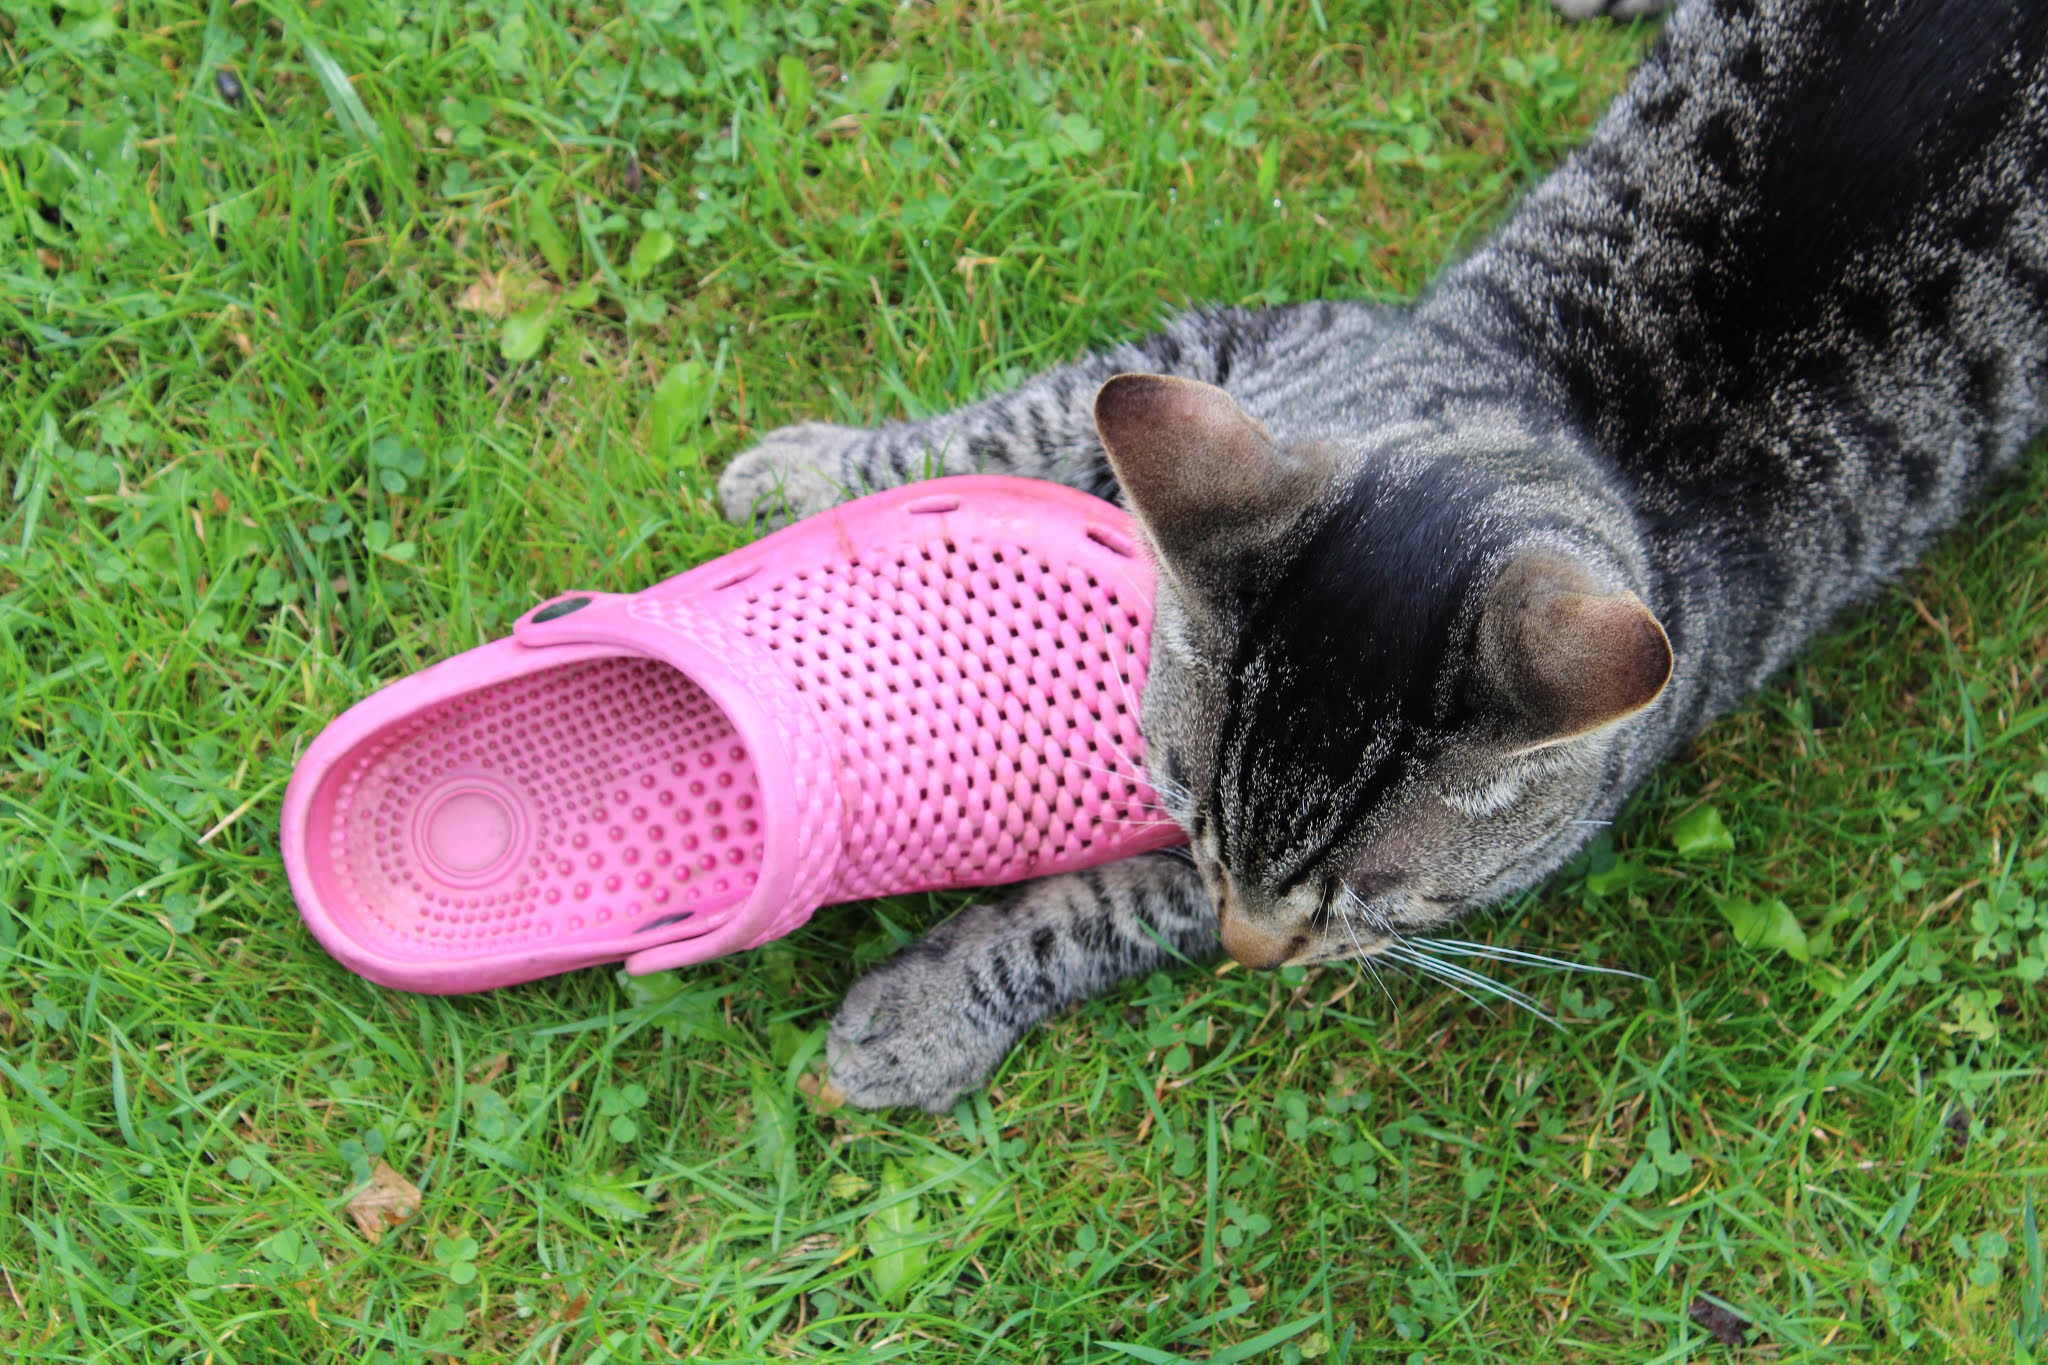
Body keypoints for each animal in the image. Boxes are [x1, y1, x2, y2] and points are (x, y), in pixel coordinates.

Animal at [715, 0, 2048, 1112]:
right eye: (1183, 800)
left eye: (1366, 898)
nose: (1253, 956)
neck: (1576, 416)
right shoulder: (1233, 349)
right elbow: (1026, 417)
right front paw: (810, 475)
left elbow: (1113, 904)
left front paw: (933, 1002)